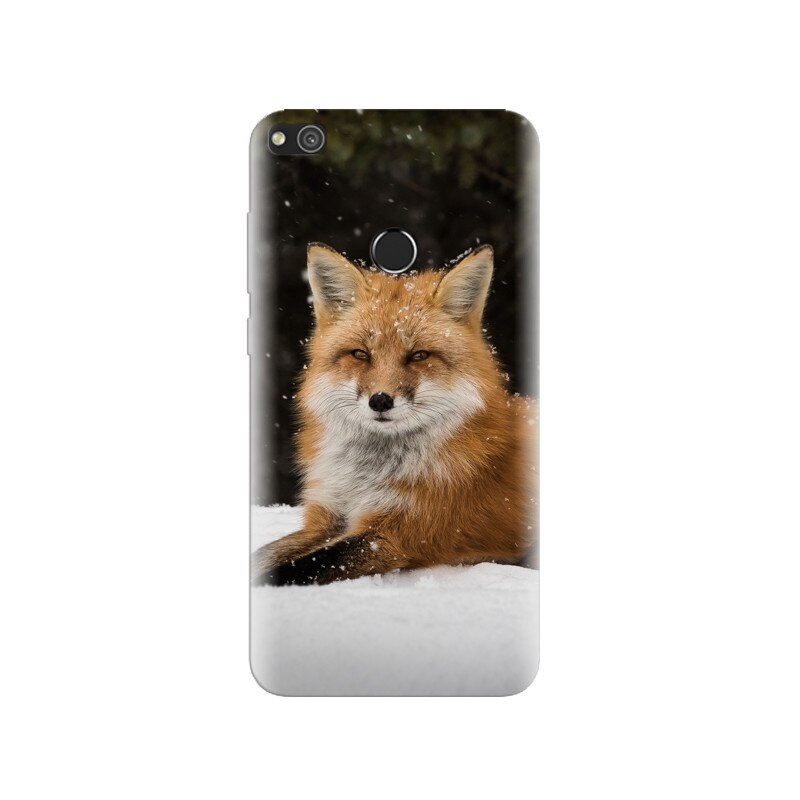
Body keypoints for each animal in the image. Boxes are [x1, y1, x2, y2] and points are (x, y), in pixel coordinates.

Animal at [251, 242, 538, 586]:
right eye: (360, 354)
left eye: (419, 356)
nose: (380, 401)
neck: (366, 475)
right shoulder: (326, 516)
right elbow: (266, 553)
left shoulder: (399, 533)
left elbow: (304, 565)